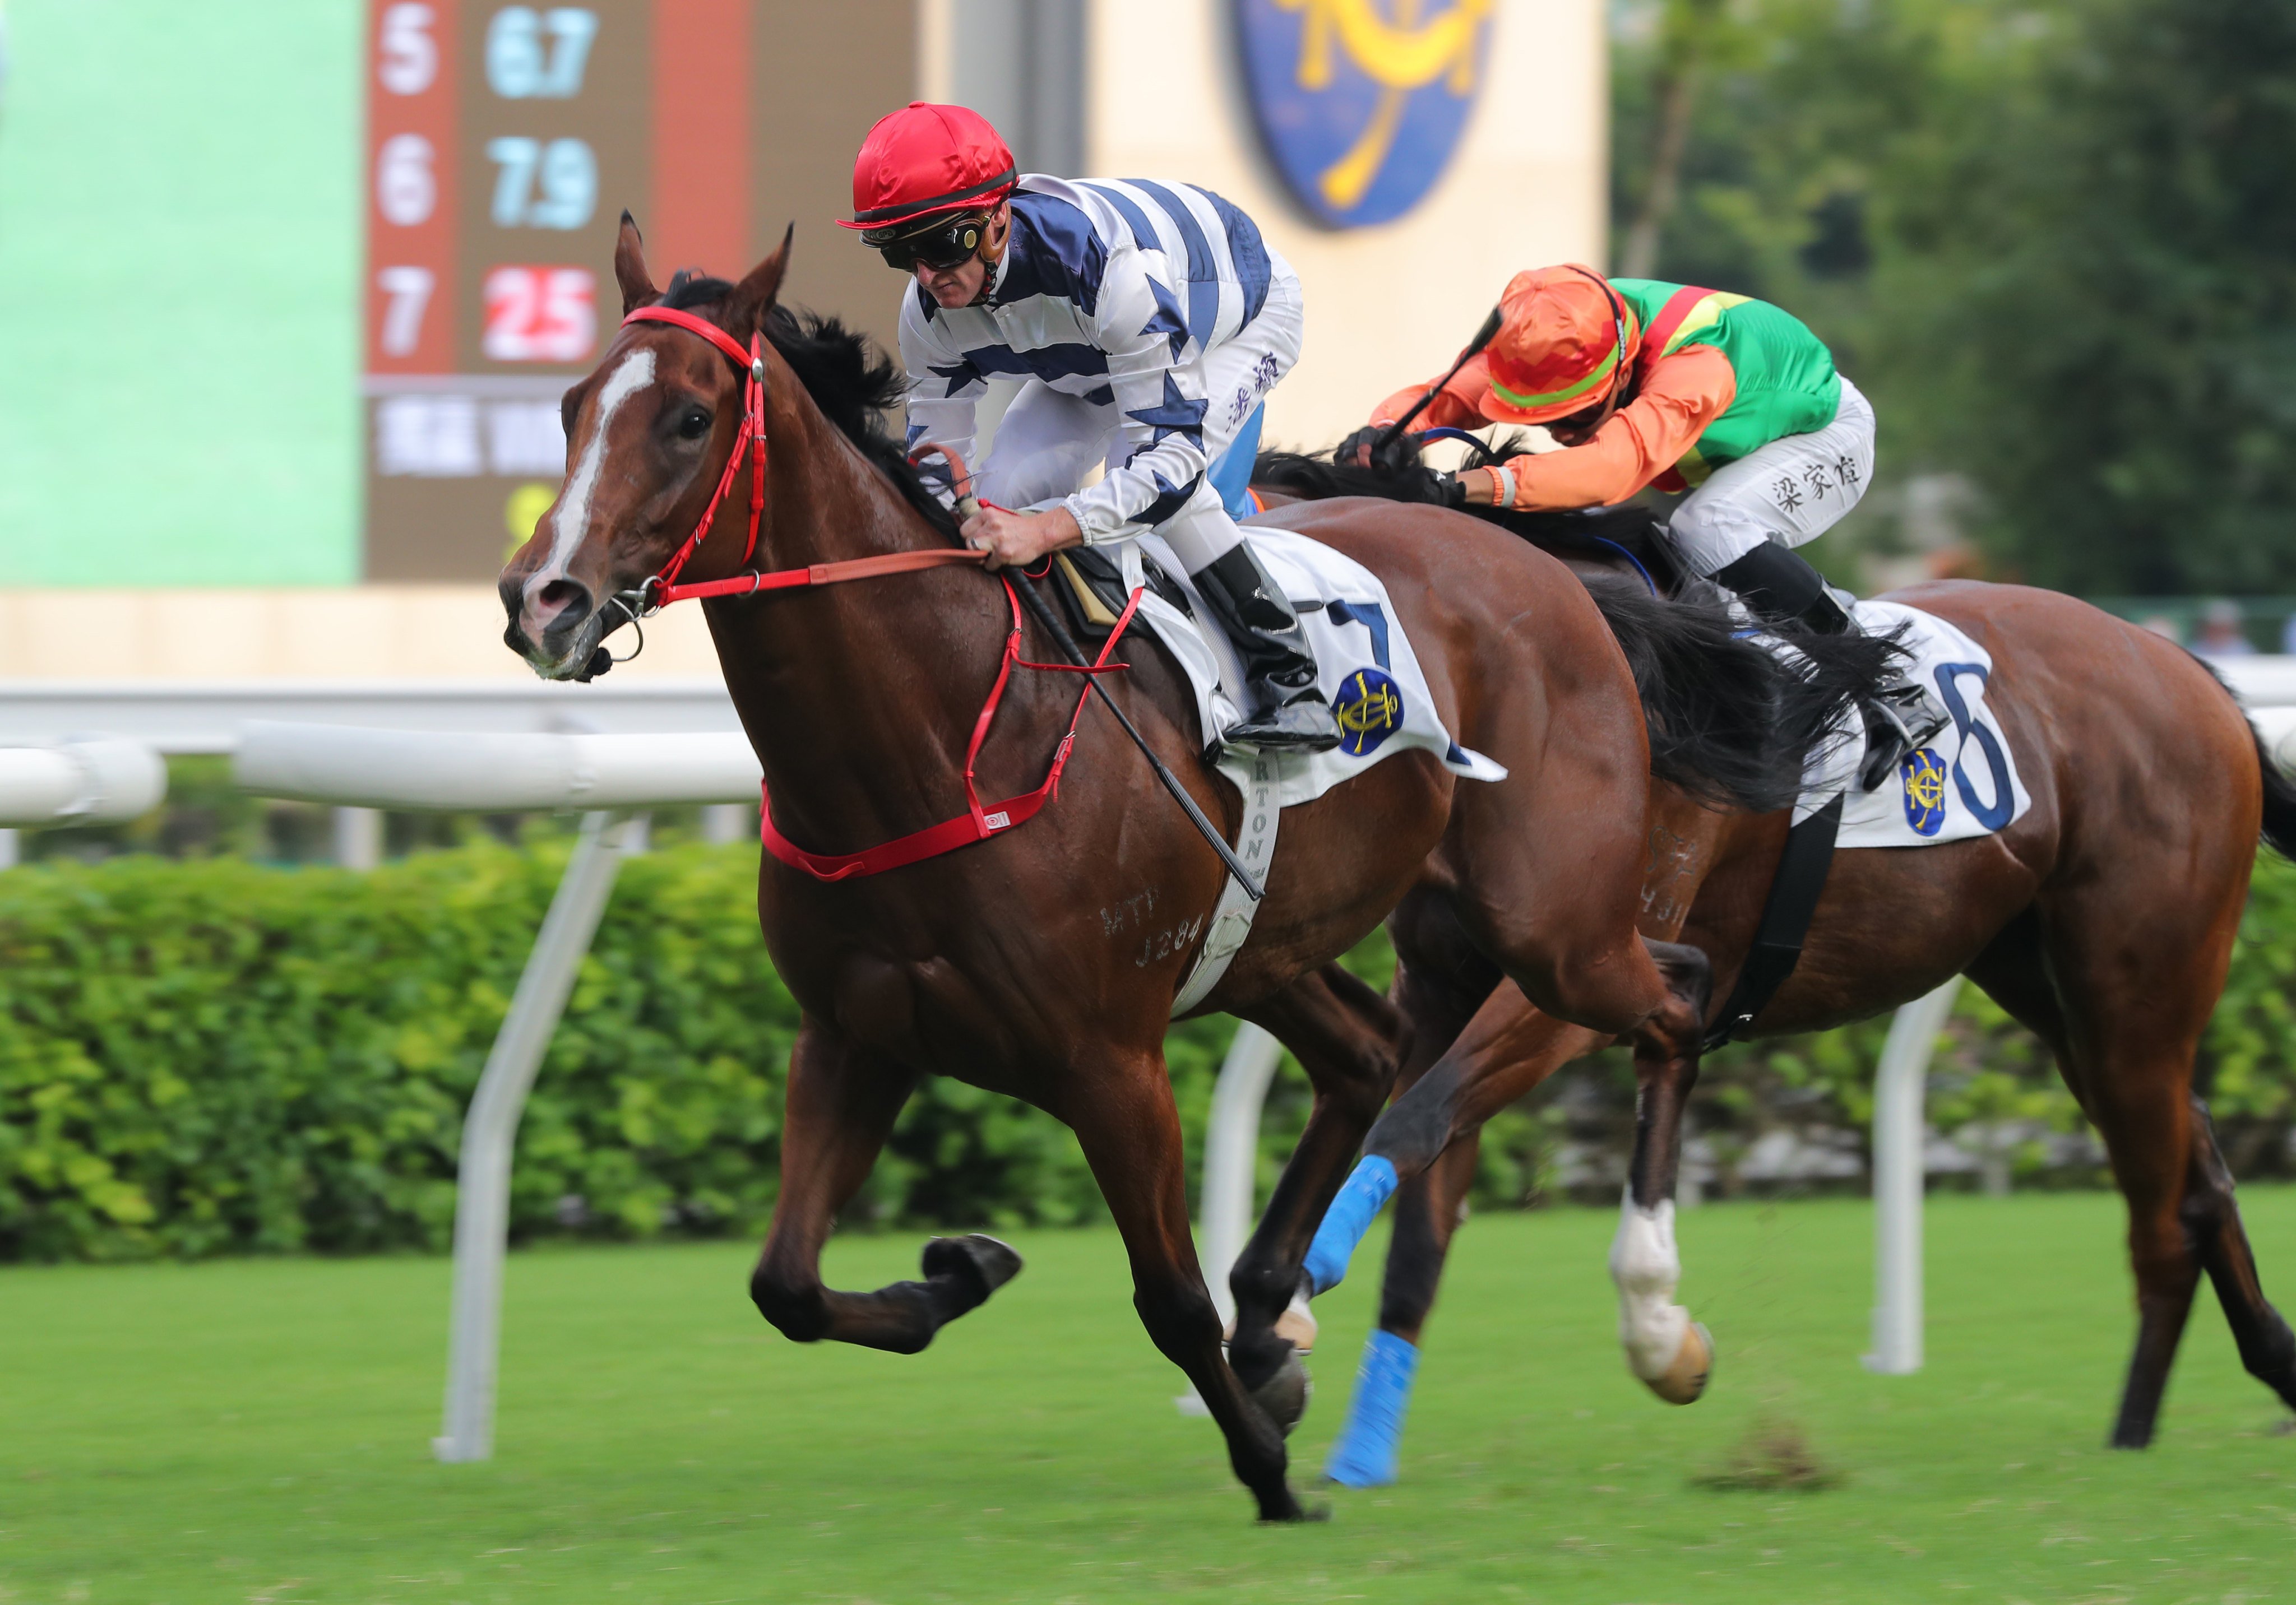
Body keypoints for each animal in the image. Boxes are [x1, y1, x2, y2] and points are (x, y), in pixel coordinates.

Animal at [493, 222, 1873, 1515]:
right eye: (569, 406)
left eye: (687, 418)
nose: (541, 599)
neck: (938, 736)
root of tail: (1550, 569)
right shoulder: (852, 1032)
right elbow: (782, 1281)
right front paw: (963, 1269)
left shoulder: (1110, 1061)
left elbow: (1165, 1296)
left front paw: (1267, 1472)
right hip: (1276, 935)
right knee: (1375, 1050)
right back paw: (1281, 1309)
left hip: (1553, 920)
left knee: (1673, 991)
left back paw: (1656, 1321)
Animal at [1258, 454, 2296, 1478]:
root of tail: (2189, 669)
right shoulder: (1449, 983)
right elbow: (1424, 1201)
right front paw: (1352, 1427)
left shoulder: (1580, 972)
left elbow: (1419, 1118)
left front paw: (1293, 1307)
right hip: (2057, 992)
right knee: (2199, 1170)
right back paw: (2263, 1371)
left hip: (2135, 997)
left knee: (2166, 1209)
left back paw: (2133, 1432)